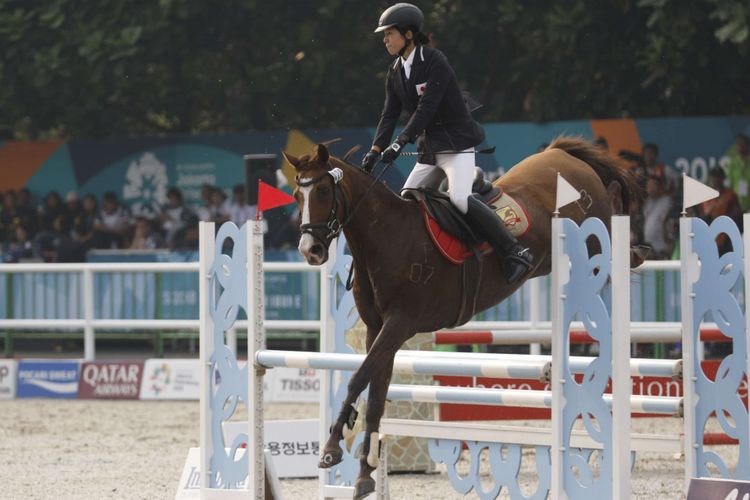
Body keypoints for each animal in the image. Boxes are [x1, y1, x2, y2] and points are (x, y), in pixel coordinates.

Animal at [282, 137, 648, 500]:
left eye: (323, 191)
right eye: (298, 194)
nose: (310, 250)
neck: (387, 236)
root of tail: (559, 152)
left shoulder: (400, 324)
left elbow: (357, 379)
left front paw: (331, 449)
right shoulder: (377, 330)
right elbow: (375, 396)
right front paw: (364, 475)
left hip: (593, 230)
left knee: (617, 226)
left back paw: (632, 242)